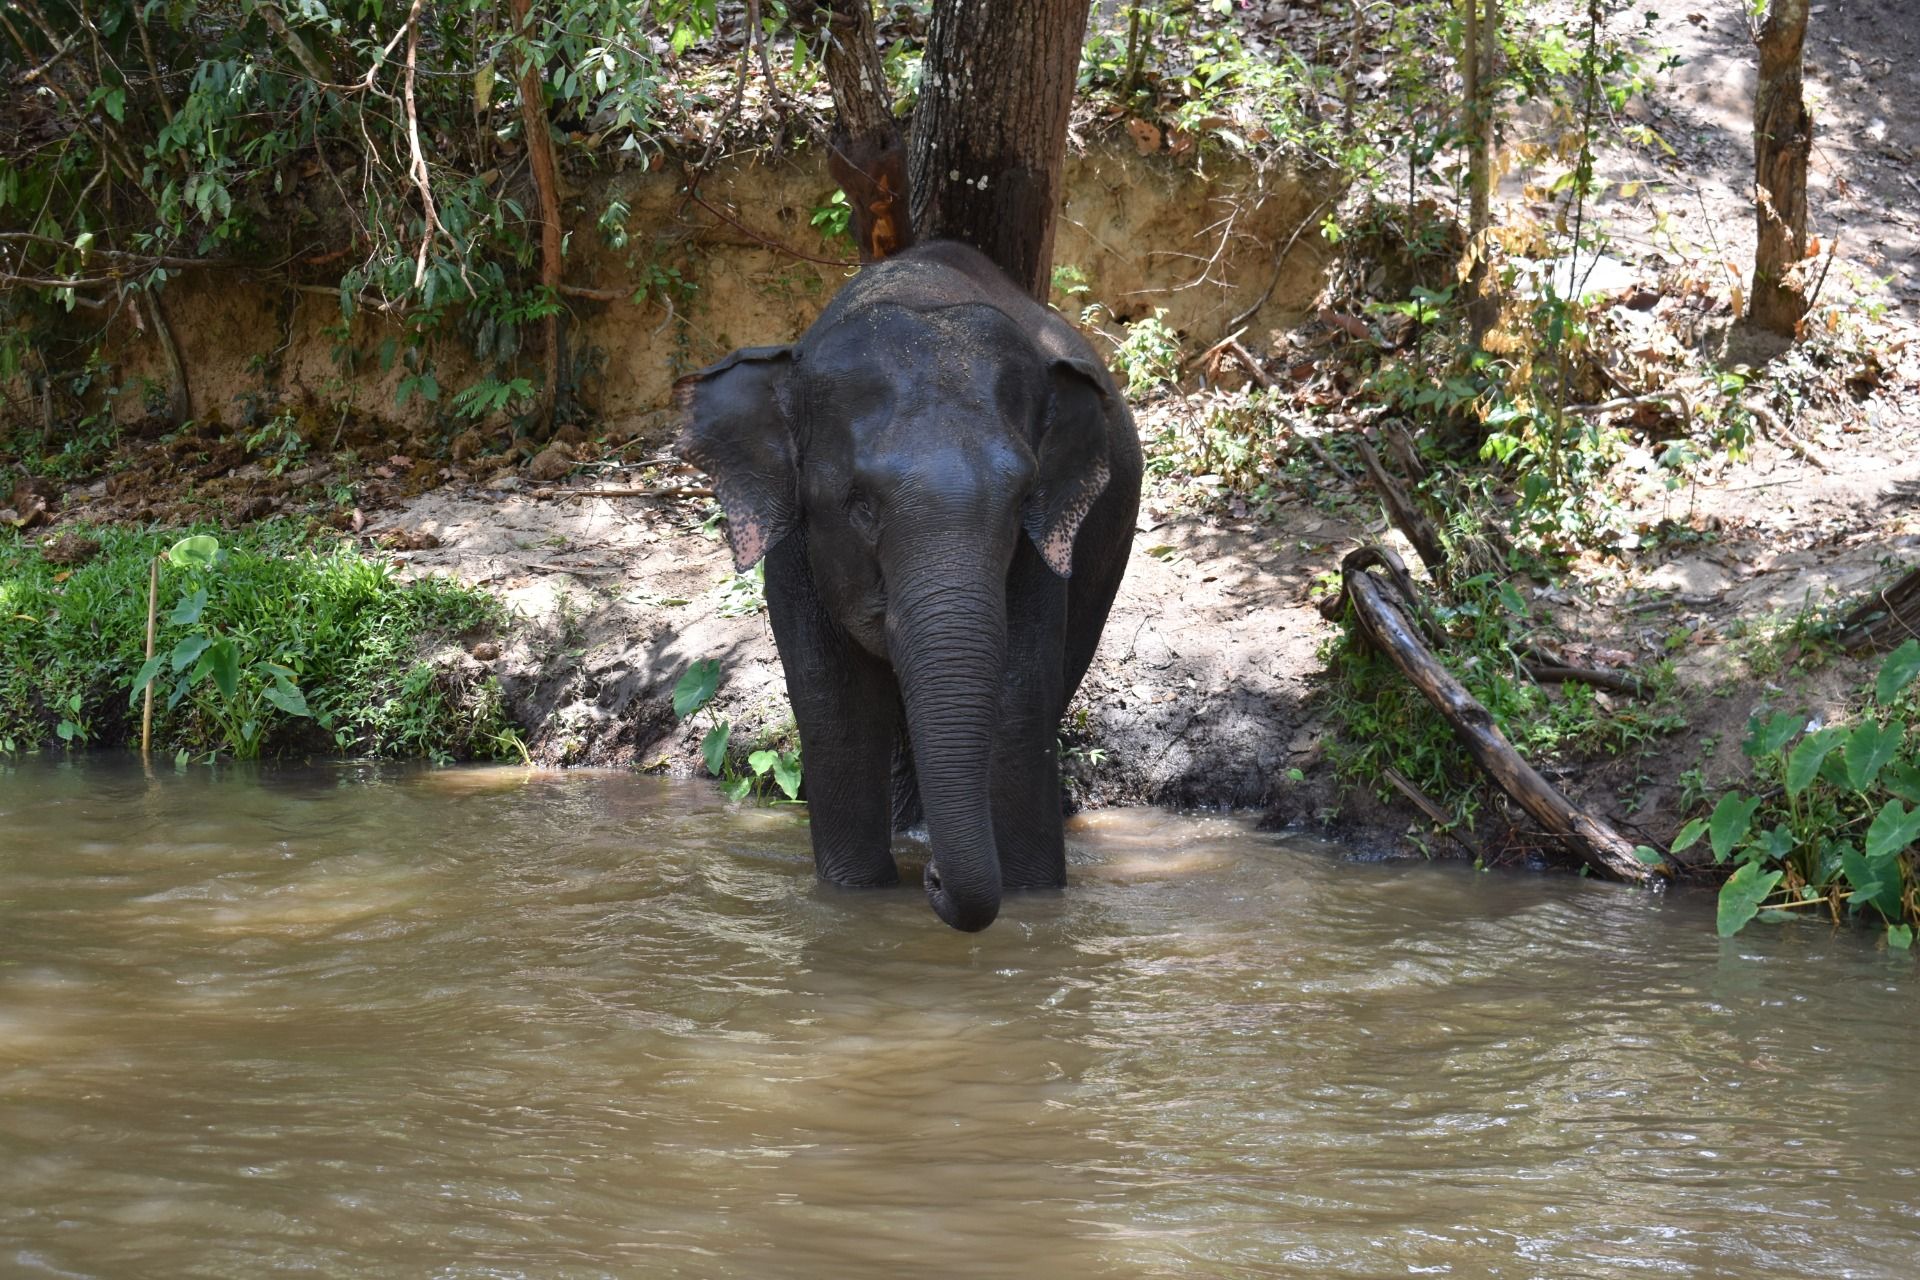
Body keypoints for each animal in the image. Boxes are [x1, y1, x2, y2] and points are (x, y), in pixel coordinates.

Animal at [675, 239, 1136, 932]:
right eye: (860, 504)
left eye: (1021, 499)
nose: (936, 879)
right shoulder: (793, 545)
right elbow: (835, 707)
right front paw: (857, 898)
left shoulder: (1040, 549)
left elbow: (1018, 703)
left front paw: (1031, 902)